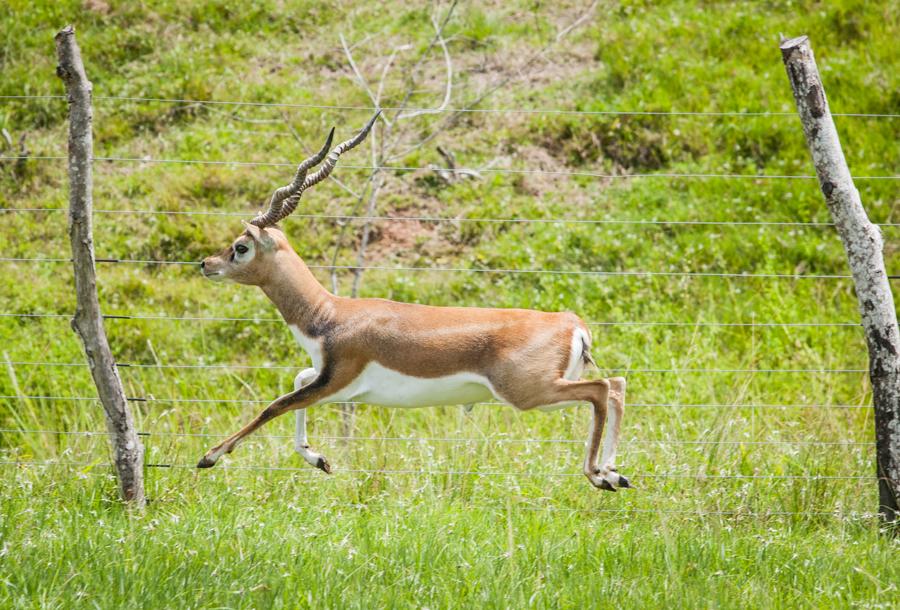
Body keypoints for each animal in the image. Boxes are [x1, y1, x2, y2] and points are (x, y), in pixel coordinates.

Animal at [200, 111, 628, 486]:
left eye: (240, 247)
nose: (206, 263)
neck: (330, 314)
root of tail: (572, 323)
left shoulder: (336, 381)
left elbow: (277, 403)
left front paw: (210, 456)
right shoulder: (324, 376)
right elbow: (296, 383)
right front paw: (318, 458)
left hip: (529, 392)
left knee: (602, 389)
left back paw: (598, 475)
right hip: (547, 390)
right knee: (616, 386)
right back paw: (613, 473)